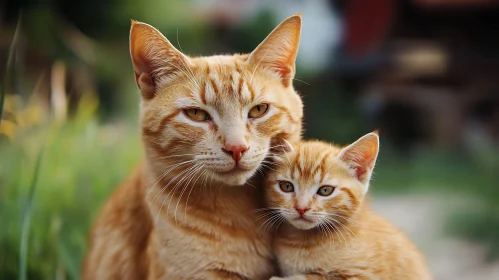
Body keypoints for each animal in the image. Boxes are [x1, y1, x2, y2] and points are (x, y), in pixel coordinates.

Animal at [266, 133, 434, 280]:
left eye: (325, 190)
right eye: (287, 186)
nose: (301, 207)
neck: (303, 241)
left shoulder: (365, 275)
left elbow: (314, 277)